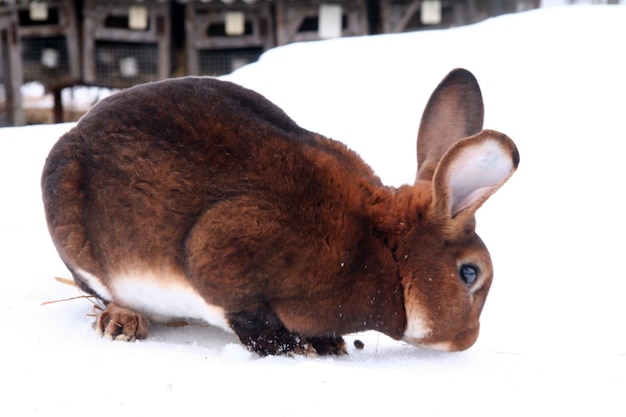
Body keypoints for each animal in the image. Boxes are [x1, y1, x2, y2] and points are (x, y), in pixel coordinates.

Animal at [40, 67, 516, 354]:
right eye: (469, 274)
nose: (467, 341)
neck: (385, 250)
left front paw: (326, 344)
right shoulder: (227, 254)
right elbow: (249, 316)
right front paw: (298, 348)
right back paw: (123, 323)